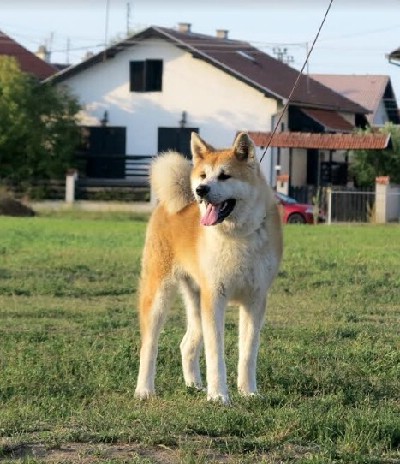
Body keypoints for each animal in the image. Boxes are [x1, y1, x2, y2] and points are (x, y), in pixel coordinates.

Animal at [136, 131, 282, 402]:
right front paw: (218, 396)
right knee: (149, 345)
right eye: (204, 175)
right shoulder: (215, 298)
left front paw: (248, 392)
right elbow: (216, 355)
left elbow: (248, 353)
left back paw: (194, 385)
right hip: (160, 293)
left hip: (196, 299)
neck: (238, 236)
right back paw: (144, 390)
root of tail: (171, 204)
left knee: (187, 344)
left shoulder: (255, 300)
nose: (200, 190)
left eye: (225, 175)